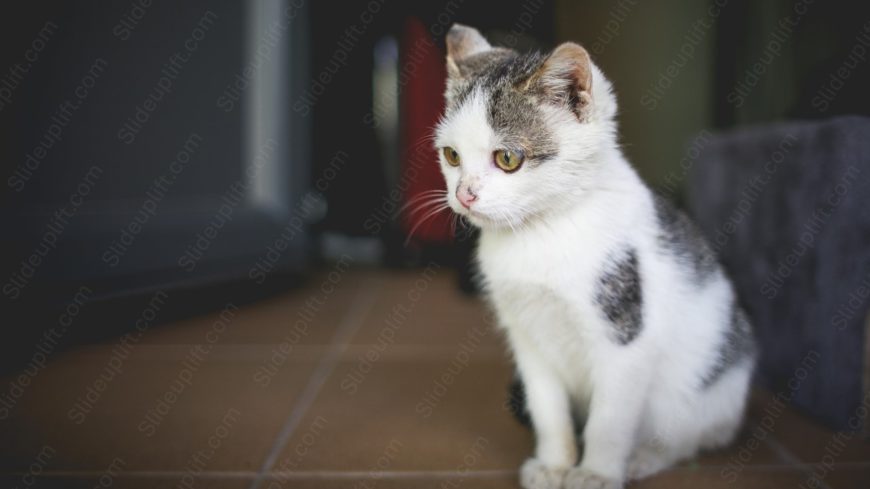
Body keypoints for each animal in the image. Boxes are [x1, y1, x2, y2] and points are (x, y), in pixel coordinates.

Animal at [434, 24, 756, 488]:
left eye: (508, 158)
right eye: (452, 155)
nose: (464, 195)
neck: (542, 234)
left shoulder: (627, 337)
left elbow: (611, 417)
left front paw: (597, 472)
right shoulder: (527, 335)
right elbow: (547, 406)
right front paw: (555, 463)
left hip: (705, 391)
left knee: (689, 437)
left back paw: (645, 457)